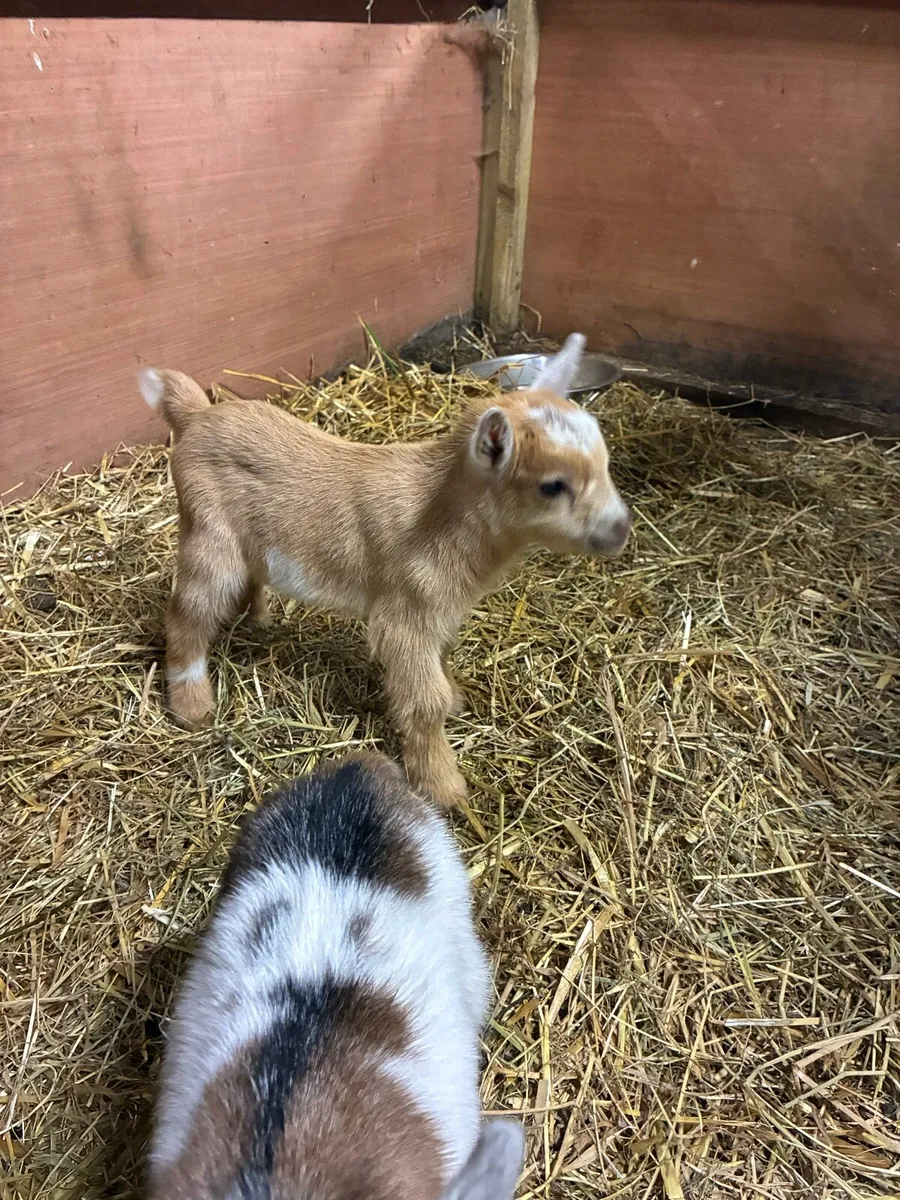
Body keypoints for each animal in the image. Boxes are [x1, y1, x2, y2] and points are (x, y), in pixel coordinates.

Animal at [138, 334, 631, 807]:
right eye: (552, 486)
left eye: (606, 462)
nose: (620, 529)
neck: (440, 515)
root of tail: (196, 414)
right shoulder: (406, 613)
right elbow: (424, 702)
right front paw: (444, 788)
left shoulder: (440, 609)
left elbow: (441, 661)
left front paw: (455, 699)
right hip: (208, 534)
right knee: (186, 613)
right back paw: (193, 707)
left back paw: (257, 620)